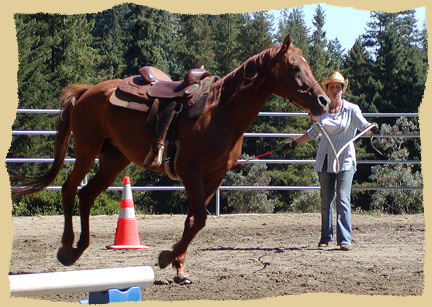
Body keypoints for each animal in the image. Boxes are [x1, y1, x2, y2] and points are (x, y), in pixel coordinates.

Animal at [11, 35, 330, 286]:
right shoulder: (190, 173)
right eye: (294, 67)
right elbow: (199, 218)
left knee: (87, 194)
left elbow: (192, 220)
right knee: (69, 190)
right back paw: (67, 249)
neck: (221, 112)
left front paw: (179, 269)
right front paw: (166, 257)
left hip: (115, 159)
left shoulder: (214, 177)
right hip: (88, 150)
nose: (323, 100)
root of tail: (88, 91)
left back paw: (79, 248)